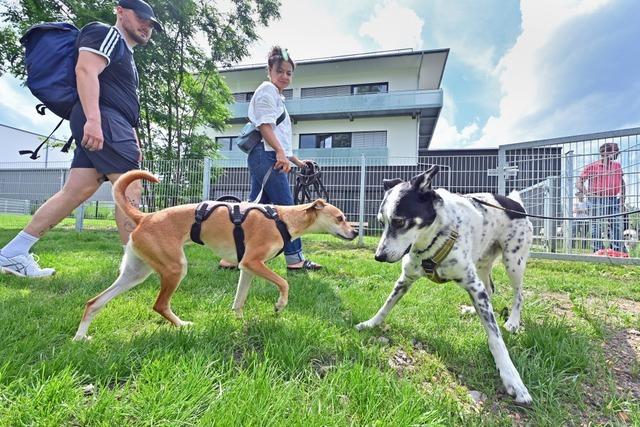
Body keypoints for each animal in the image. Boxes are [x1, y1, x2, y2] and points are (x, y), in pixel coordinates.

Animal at [74, 171, 360, 342]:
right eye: (340, 218)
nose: (356, 231)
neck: (283, 218)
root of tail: (145, 216)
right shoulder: (254, 262)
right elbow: (284, 283)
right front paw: (279, 305)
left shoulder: (247, 268)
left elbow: (239, 301)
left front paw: (241, 322)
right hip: (175, 269)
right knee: (159, 305)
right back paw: (182, 325)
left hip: (135, 274)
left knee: (94, 302)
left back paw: (80, 338)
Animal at [358, 166, 532, 406]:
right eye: (381, 222)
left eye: (399, 221)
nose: (379, 256)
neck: (432, 240)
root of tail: (515, 203)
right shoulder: (406, 279)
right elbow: (386, 305)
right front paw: (371, 323)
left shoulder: (473, 284)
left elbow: (495, 339)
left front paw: (513, 379)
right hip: (482, 262)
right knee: (490, 289)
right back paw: (472, 310)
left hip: (513, 261)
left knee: (518, 294)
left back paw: (514, 322)